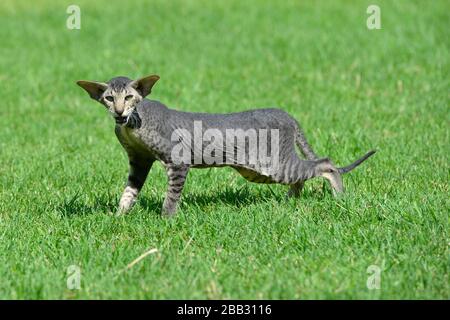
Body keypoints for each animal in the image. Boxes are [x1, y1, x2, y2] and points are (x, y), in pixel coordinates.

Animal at [78, 74, 376, 218]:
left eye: (129, 97)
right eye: (108, 98)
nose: (118, 111)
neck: (131, 126)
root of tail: (287, 114)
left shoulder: (178, 161)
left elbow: (171, 196)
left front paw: (166, 220)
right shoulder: (138, 160)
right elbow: (128, 193)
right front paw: (118, 217)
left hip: (274, 165)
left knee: (325, 163)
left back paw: (339, 196)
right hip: (260, 171)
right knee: (303, 175)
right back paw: (291, 201)